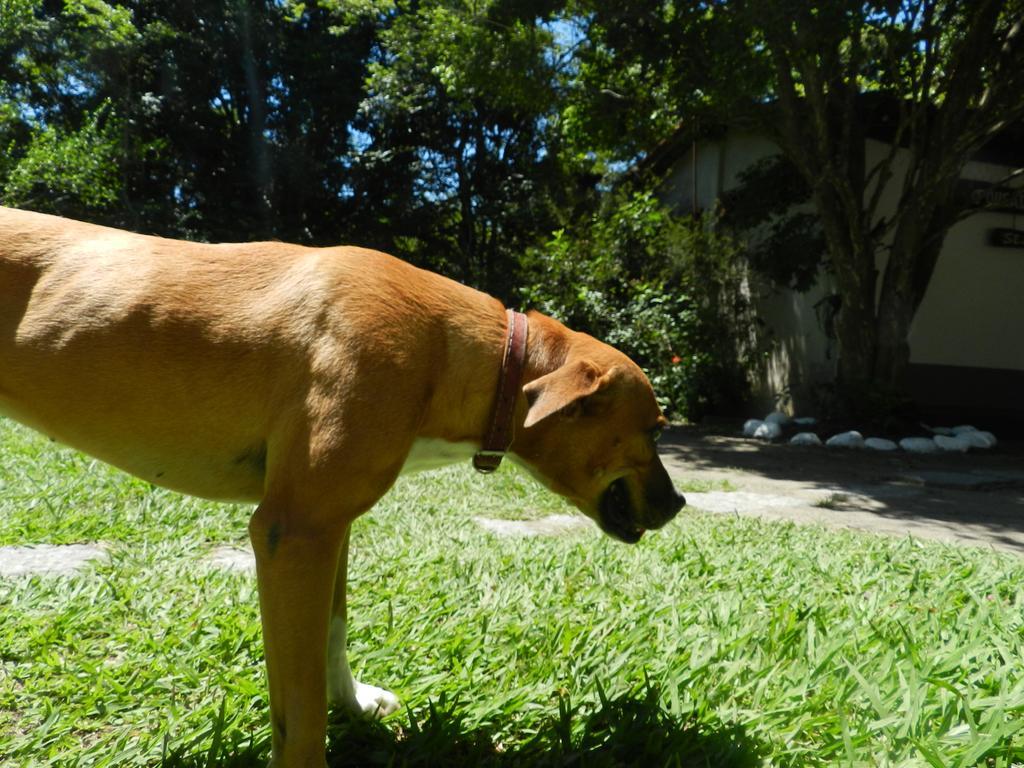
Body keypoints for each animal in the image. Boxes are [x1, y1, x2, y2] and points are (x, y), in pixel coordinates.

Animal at [2, 205, 688, 768]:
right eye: (654, 429)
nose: (680, 502)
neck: (464, 354)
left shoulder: (329, 530)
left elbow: (331, 635)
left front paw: (352, 705)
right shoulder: (295, 532)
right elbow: (300, 710)